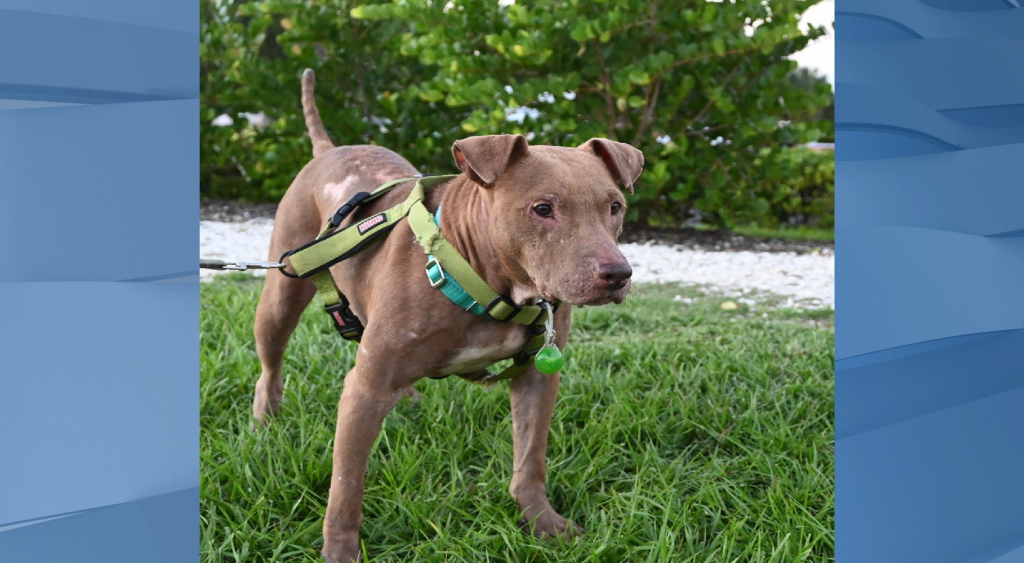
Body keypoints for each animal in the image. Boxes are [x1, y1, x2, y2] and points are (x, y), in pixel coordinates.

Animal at [251, 70, 643, 563]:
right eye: (542, 209)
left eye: (615, 206)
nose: (617, 274)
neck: (483, 277)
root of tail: (329, 148)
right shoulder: (365, 388)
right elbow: (346, 485)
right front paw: (340, 551)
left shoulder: (536, 377)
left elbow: (531, 456)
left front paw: (541, 521)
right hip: (281, 295)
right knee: (270, 365)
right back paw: (264, 424)